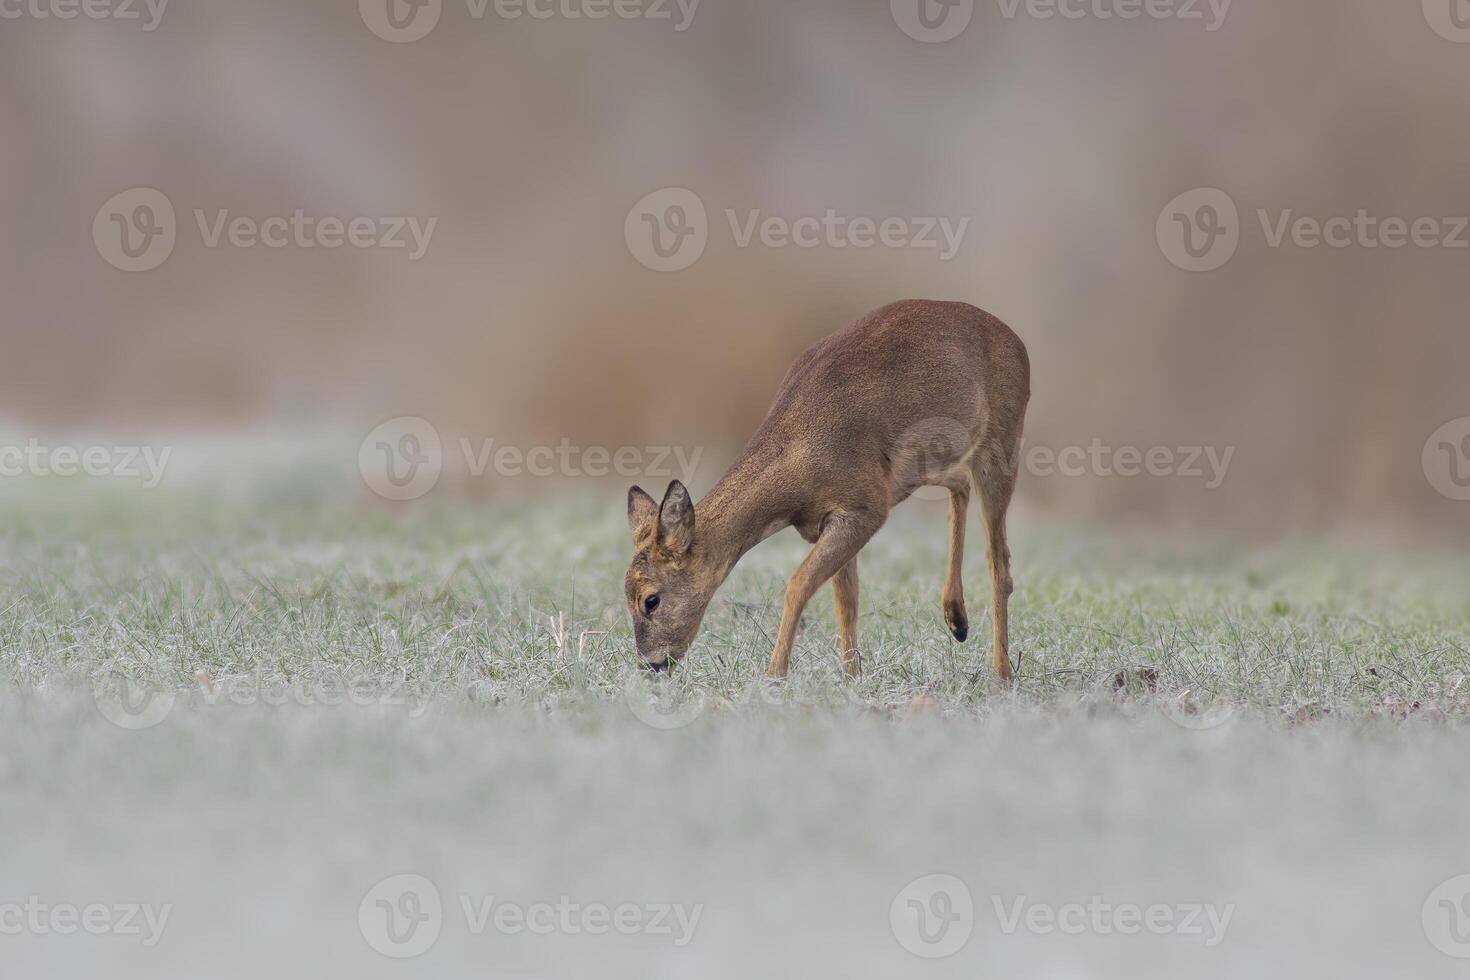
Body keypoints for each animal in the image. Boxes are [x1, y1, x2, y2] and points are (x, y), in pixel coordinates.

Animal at [626, 301, 1029, 681]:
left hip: (1002, 443)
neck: (796, 462)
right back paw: (956, 620)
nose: (651, 664)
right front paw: (852, 680)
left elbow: (799, 584)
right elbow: (846, 601)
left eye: (651, 600)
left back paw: (1002, 674)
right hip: (924, 466)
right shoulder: (829, 518)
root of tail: (1017, 341)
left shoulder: (864, 508)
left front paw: (774, 677)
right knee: (960, 482)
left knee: (1000, 564)